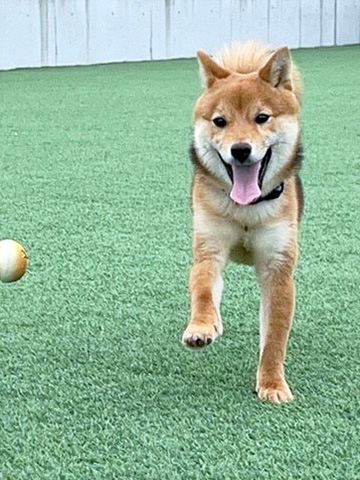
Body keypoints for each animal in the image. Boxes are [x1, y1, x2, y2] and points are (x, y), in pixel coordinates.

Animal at [183, 41, 304, 404]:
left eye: (262, 118)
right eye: (219, 121)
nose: (240, 149)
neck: (246, 210)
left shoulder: (278, 268)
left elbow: (275, 338)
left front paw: (272, 383)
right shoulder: (209, 249)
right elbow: (203, 291)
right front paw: (201, 327)